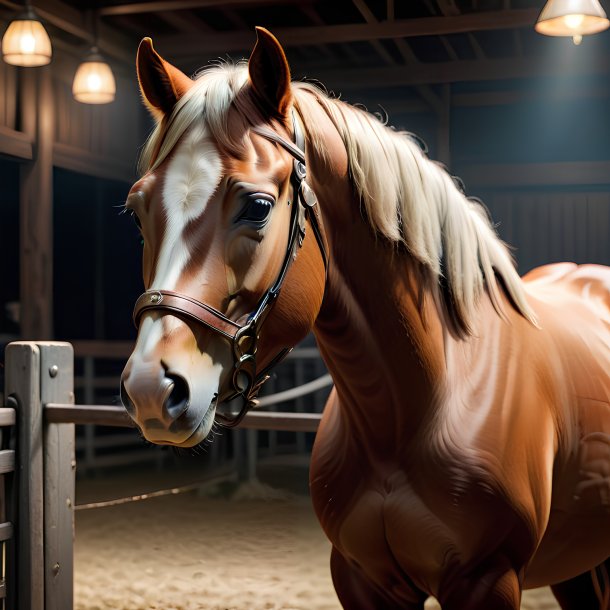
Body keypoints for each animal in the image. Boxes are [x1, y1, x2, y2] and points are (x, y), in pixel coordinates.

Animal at [119, 26, 608, 604]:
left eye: (258, 207)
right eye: (138, 211)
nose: (151, 390)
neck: (413, 409)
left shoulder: (488, 580)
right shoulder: (360, 577)